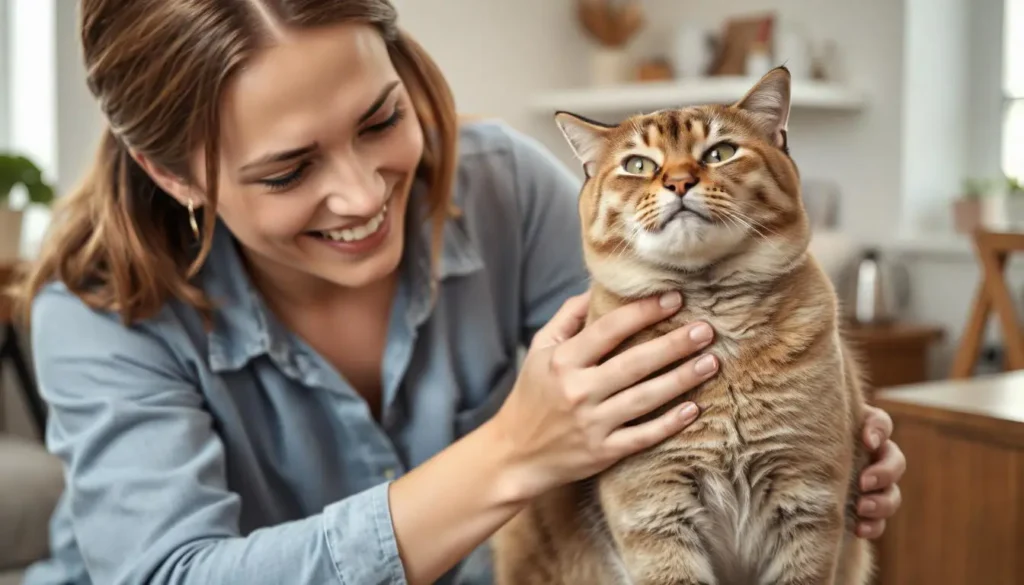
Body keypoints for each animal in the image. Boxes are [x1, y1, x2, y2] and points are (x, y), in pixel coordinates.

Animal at [491, 66, 876, 581]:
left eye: (720, 152)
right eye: (637, 165)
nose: (678, 182)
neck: (714, 320)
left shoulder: (807, 502)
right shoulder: (654, 511)